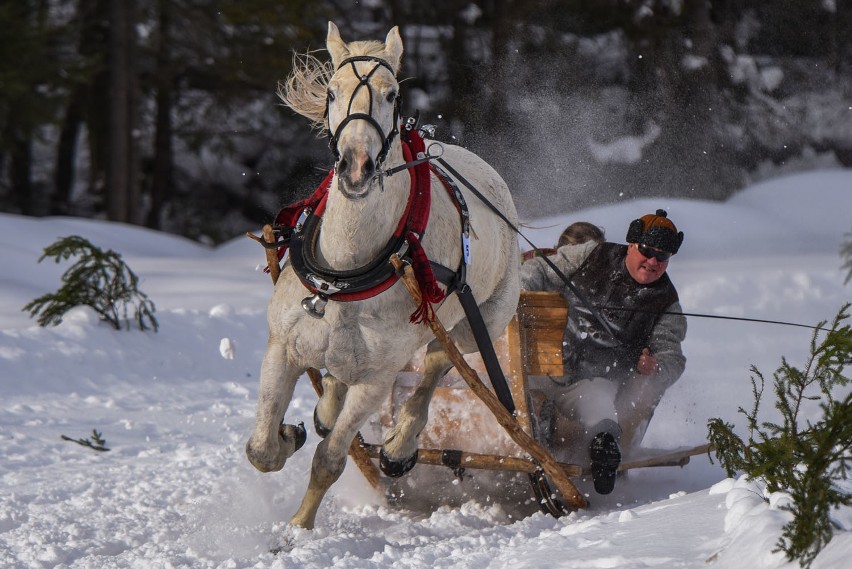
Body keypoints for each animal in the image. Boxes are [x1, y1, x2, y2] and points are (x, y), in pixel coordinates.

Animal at [243, 22, 516, 528]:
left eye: (391, 95)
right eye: (332, 92)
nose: (355, 167)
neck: (342, 276)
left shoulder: (377, 377)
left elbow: (330, 459)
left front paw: (297, 528)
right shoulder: (282, 347)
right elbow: (260, 450)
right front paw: (288, 436)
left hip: (478, 324)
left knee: (437, 364)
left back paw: (401, 443)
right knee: (342, 378)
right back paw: (327, 406)